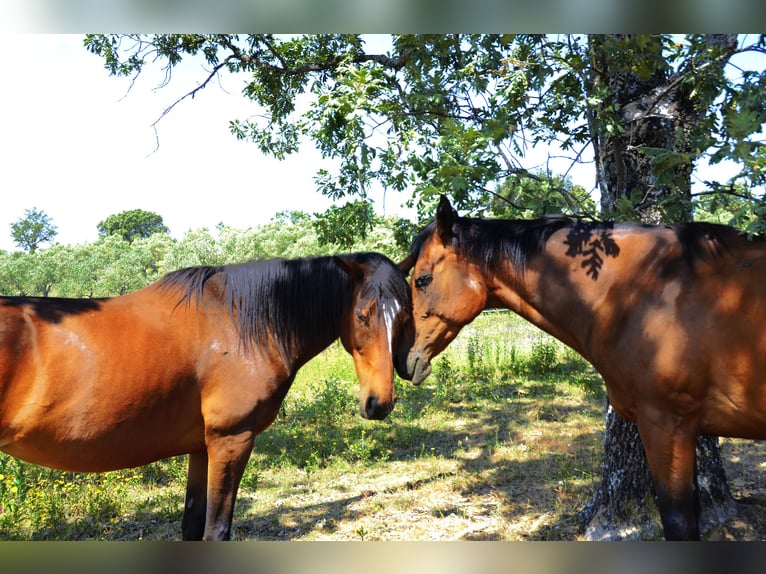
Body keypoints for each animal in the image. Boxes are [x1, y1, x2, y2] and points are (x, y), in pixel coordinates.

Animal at [0, 252, 413, 540]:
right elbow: (217, 530)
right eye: (362, 315)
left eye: (406, 316)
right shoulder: (231, 440)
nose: (379, 403)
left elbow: (192, 527)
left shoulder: (201, 447)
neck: (239, 324)